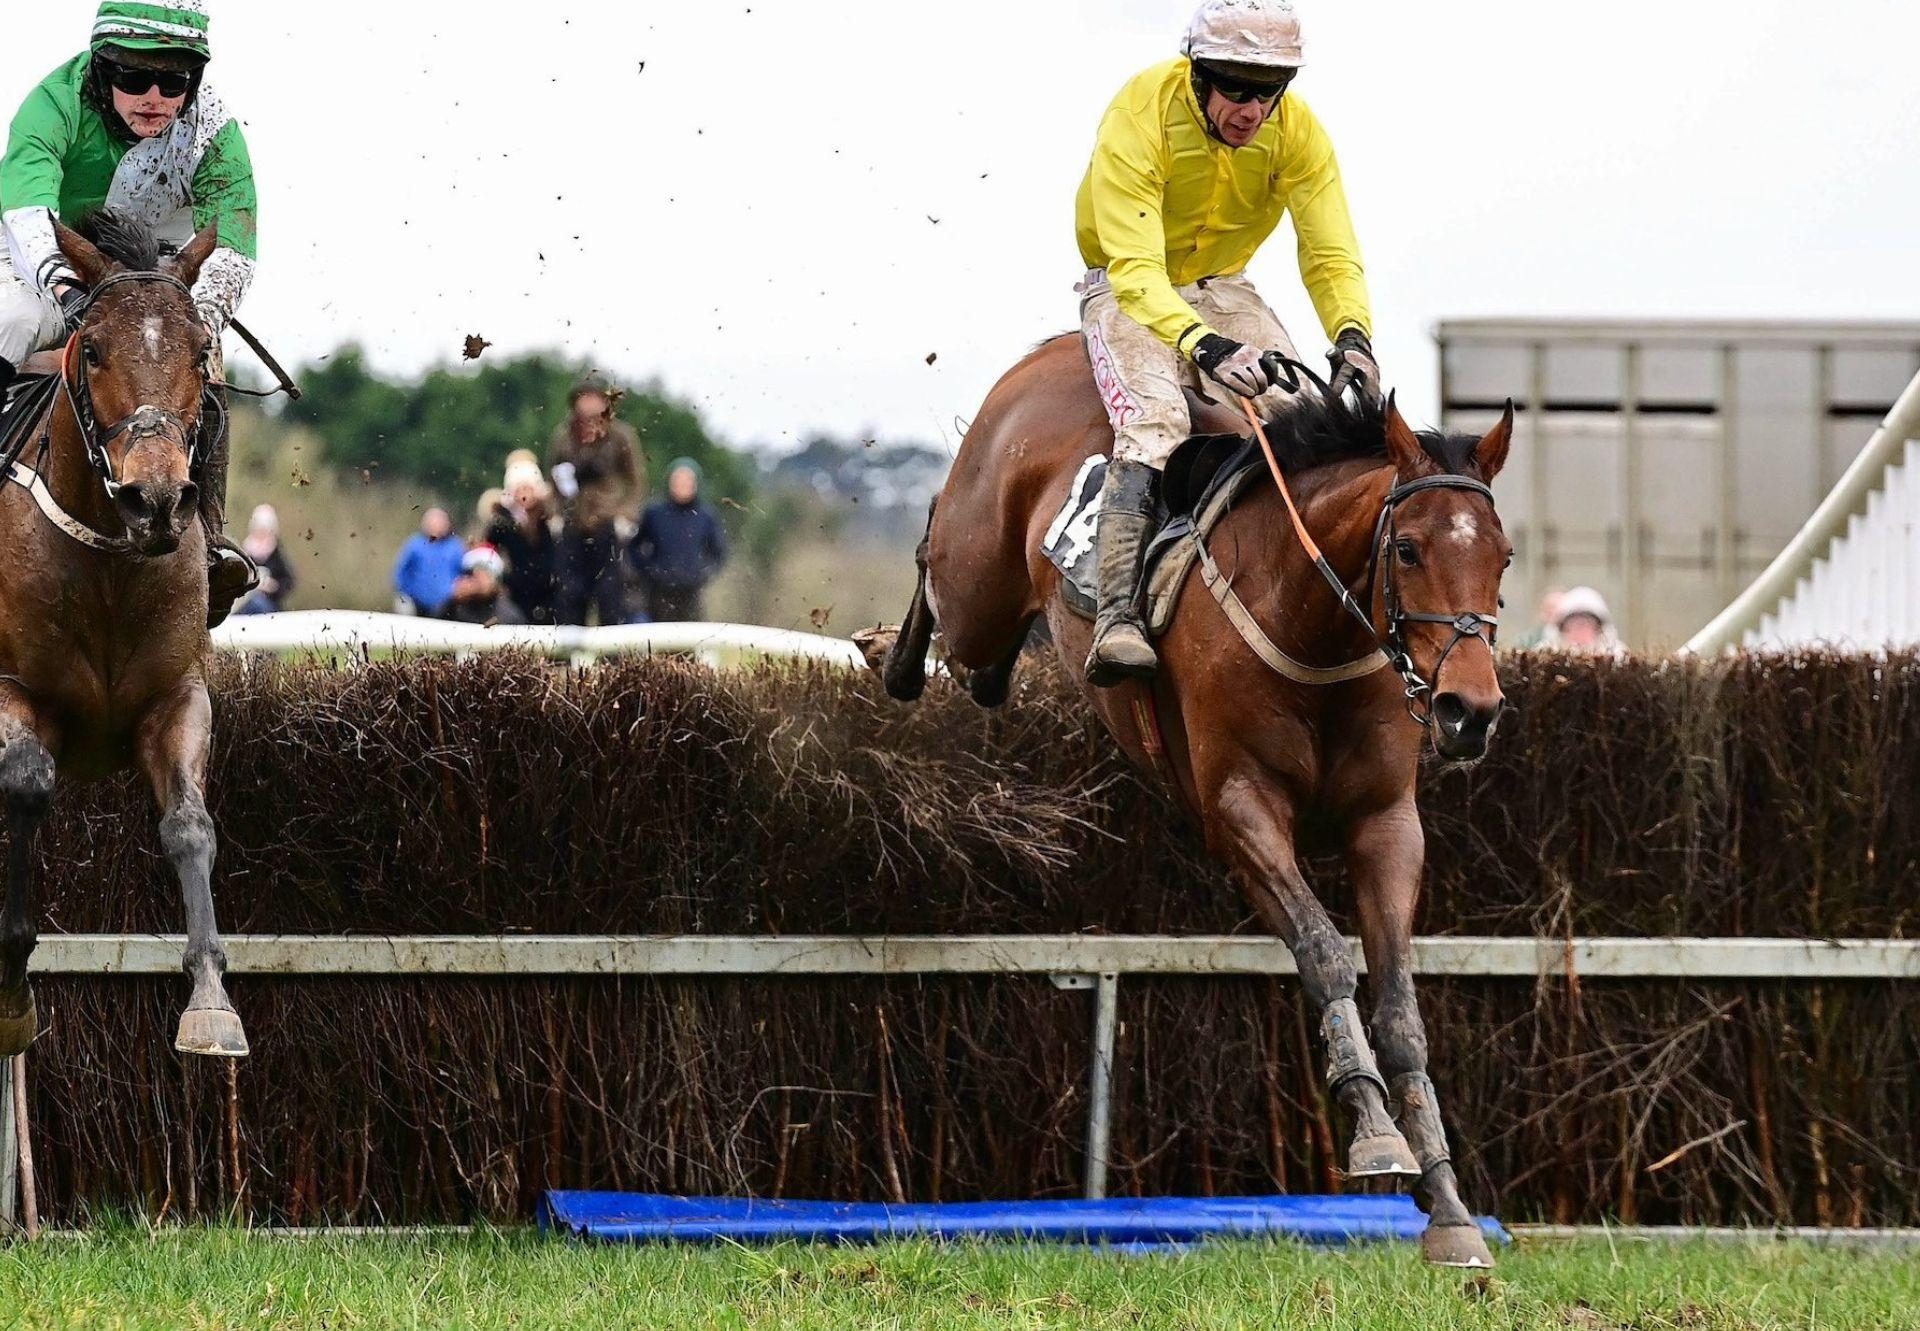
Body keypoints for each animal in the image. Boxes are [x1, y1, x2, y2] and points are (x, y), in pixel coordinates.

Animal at [0, 210, 247, 1060]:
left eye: (200, 352)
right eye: (96, 348)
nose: (157, 497)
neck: (109, 560)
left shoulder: (177, 698)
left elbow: (191, 825)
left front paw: (210, 999)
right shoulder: (12, 691)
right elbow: (27, 779)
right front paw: (12, 989)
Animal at [871, 334, 1512, 1267]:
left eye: (1503, 556)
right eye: (1409, 551)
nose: (1471, 709)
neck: (1310, 620)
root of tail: (1054, 349)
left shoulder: (1388, 824)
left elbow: (1400, 1008)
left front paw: (1450, 1207)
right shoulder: (1240, 810)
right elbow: (1324, 952)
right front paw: (1373, 1131)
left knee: (984, 670)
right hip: (976, 577)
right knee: (935, 566)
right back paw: (887, 648)